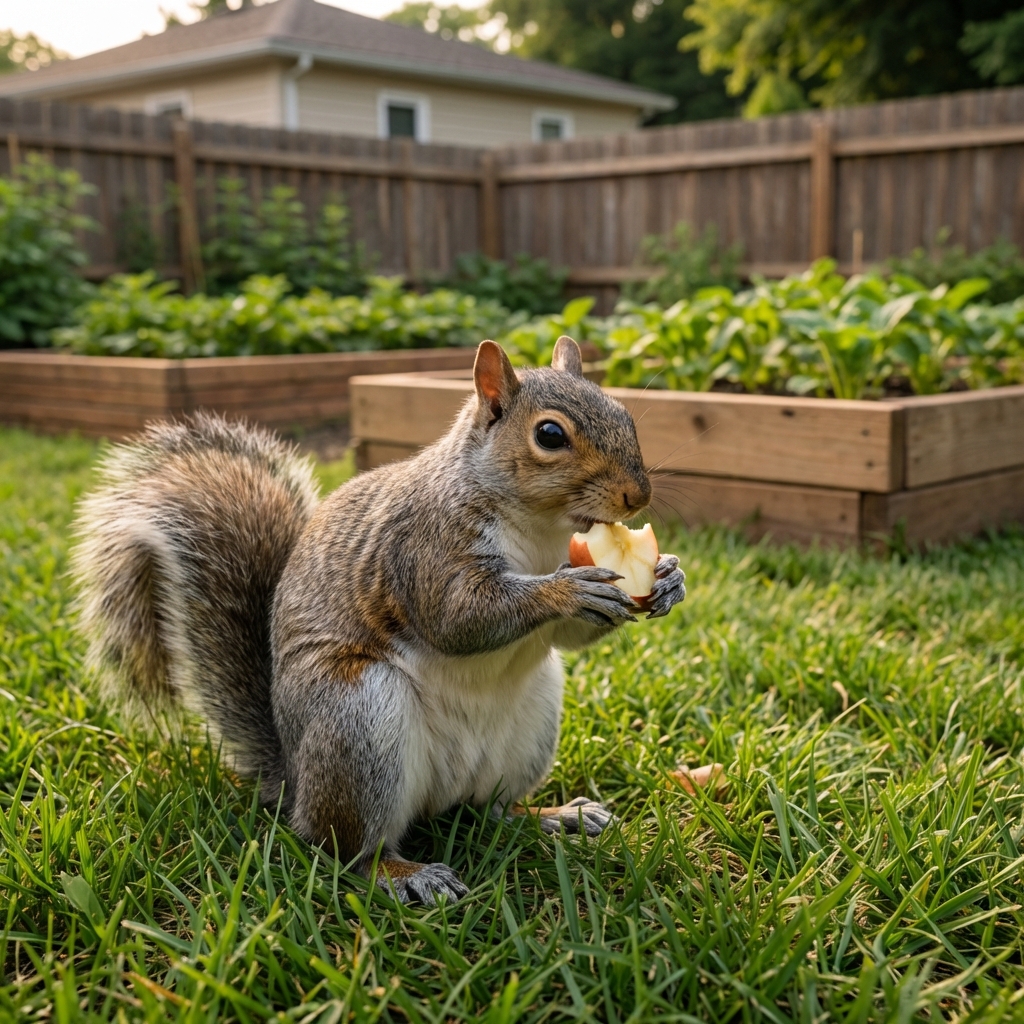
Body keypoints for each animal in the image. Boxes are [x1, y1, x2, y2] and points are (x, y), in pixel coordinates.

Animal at [72, 336, 686, 905]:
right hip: (357, 719)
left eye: (623, 413)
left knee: (491, 811)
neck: (540, 529)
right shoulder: (425, 549)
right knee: (345, 850)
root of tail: (294, 781)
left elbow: (569, 636)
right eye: (551, 435)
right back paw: (406, 875)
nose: (638, 495)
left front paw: (668, 579)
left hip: (530, 723)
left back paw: (554, 817)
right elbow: (459, 618)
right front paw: (566, 590)